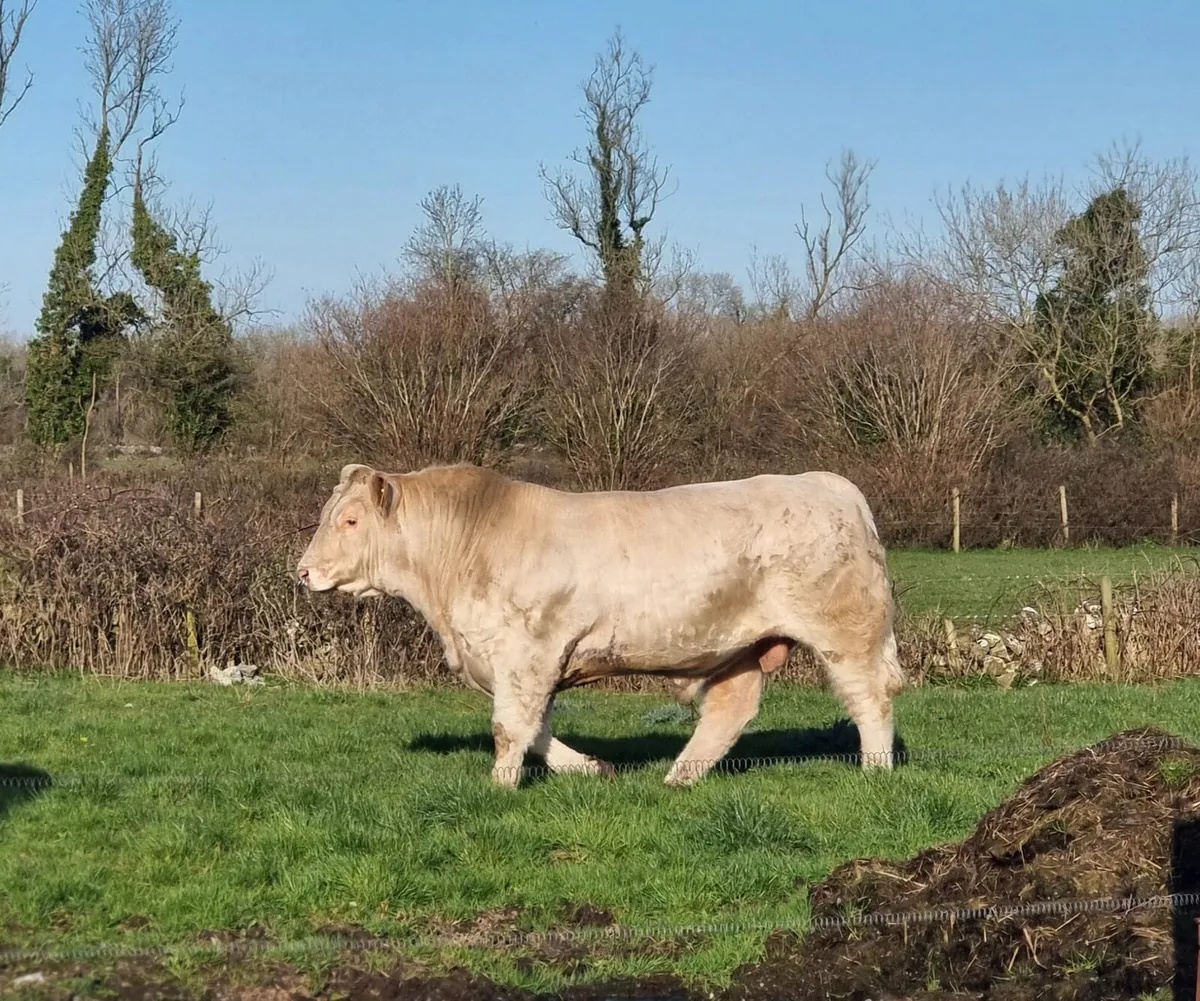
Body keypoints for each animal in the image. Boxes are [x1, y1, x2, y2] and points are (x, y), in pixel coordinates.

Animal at [296, 462, 905, 788]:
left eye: (350, 521)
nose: (303, 571)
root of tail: (829, 484)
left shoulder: (528, 653)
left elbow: (510, 727)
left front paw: (499, 785)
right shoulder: (515, 662)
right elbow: (536, 728)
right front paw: (591, 767)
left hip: (845, 629)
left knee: (870, 695)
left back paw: (875, 770)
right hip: (739, 646)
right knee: (731, 709)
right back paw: (679, 777)